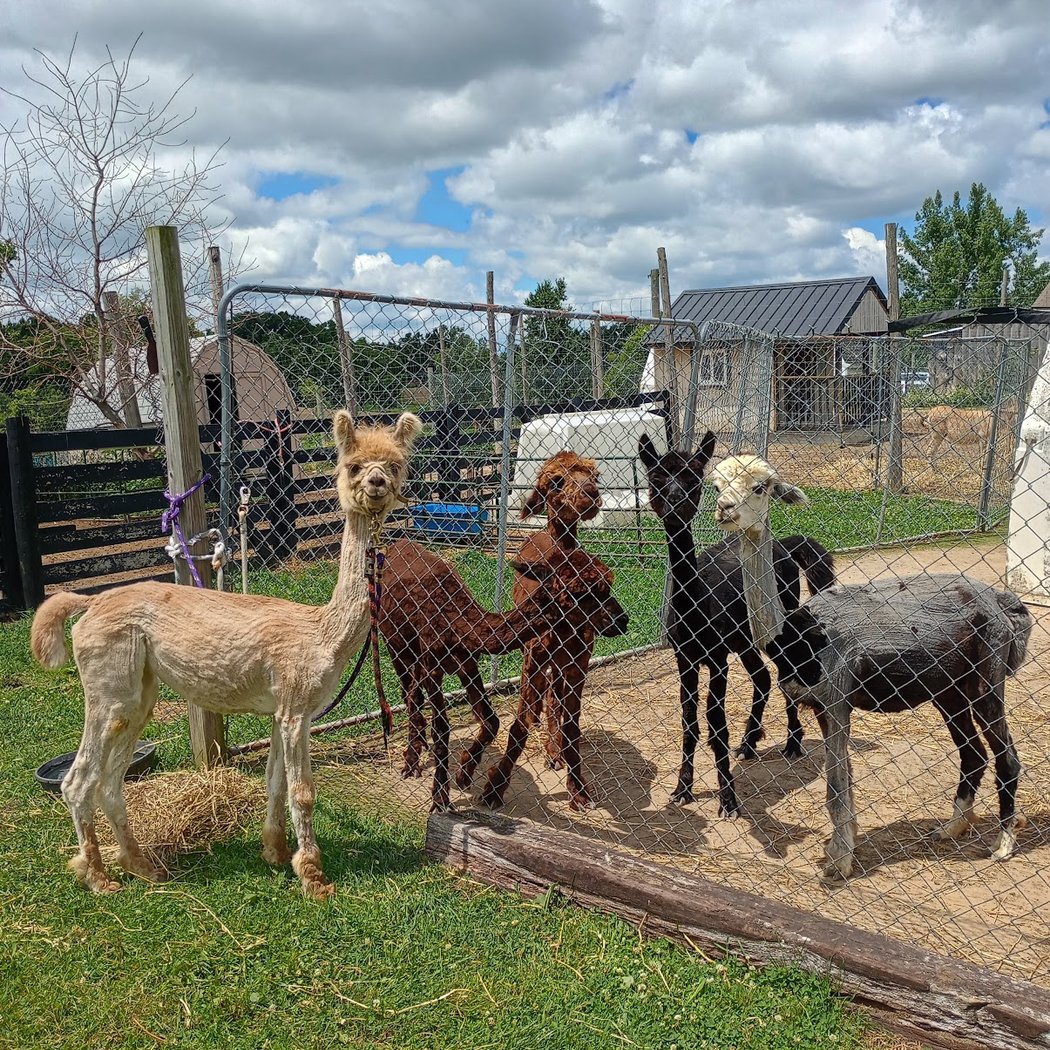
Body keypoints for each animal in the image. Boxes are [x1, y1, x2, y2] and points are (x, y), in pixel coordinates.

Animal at [30, 410, 422, 898]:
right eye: (353, 466)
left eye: (395, 465)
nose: (376, 483)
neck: (322, 634)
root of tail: (92, 602)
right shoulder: (296, 707)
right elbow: (303, 793)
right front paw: (315, 878)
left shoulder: (284, 710)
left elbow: (275, 784)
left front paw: (275, 852)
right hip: (109, 688)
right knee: (78, 781)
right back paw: (99, 877)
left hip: (138, 694)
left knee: (109, 782)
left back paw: (142, 866)